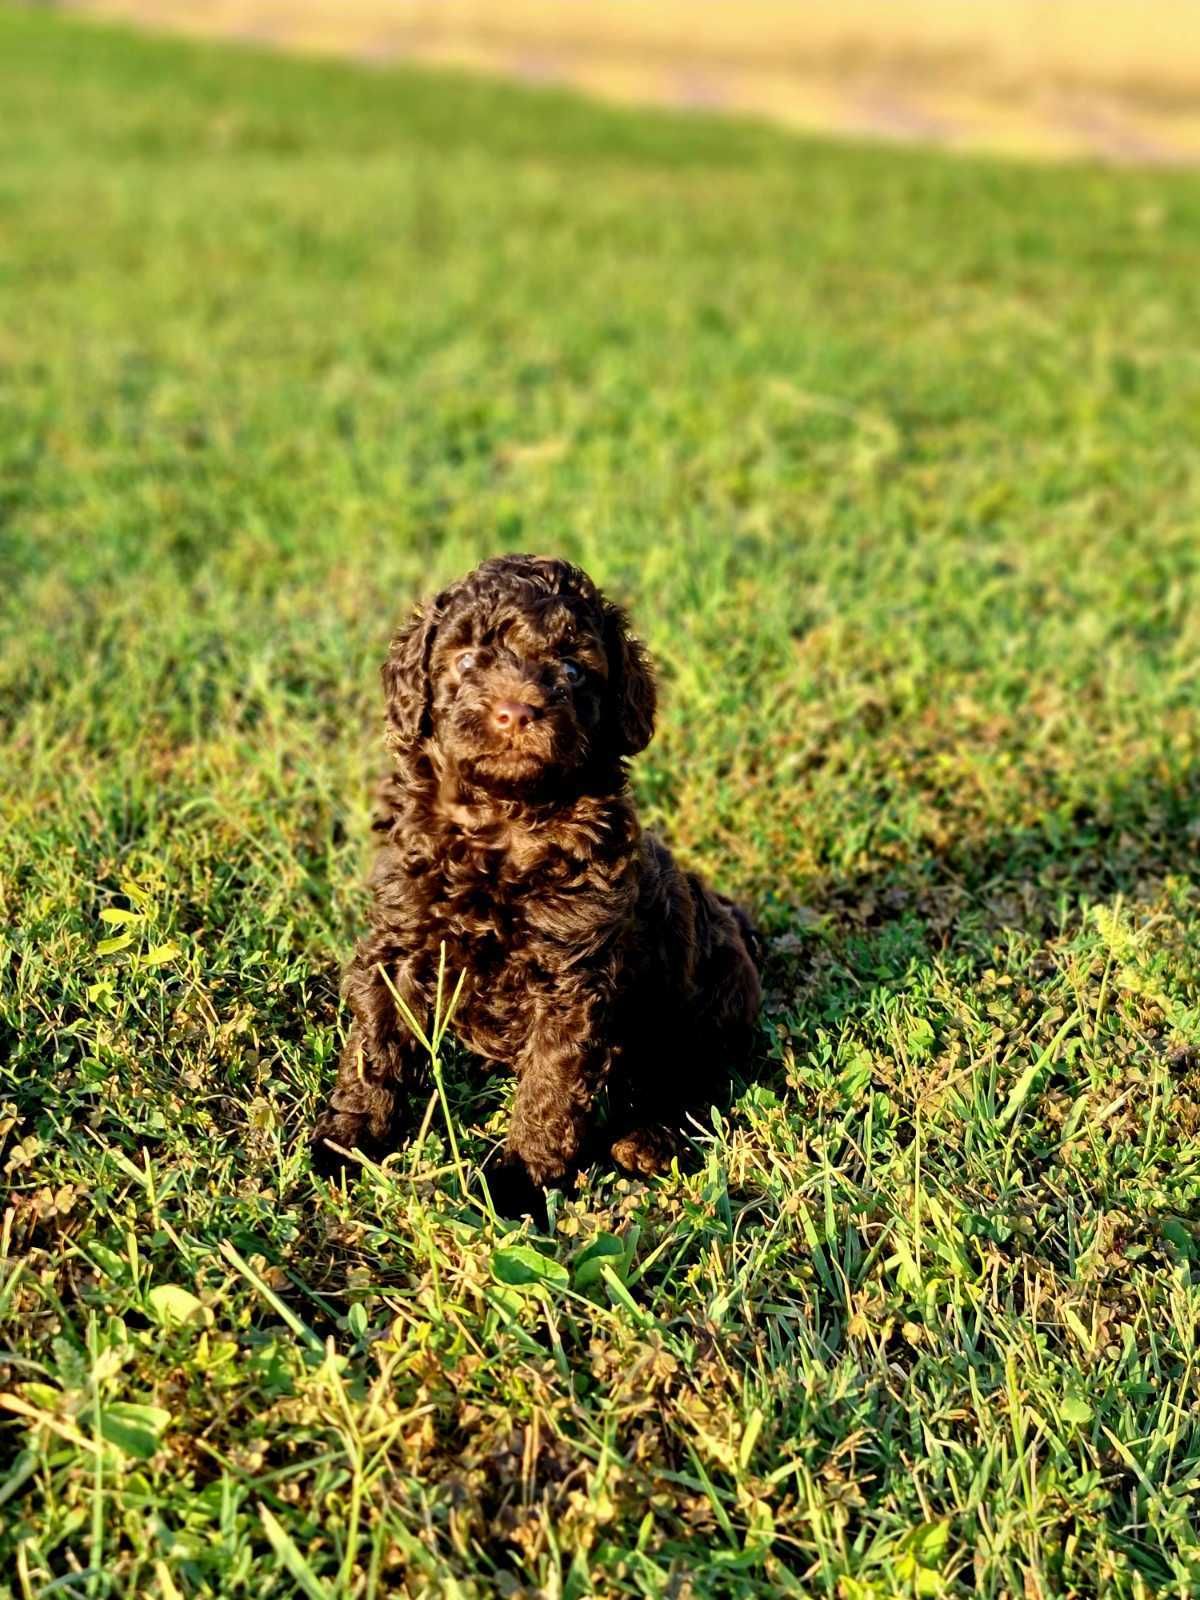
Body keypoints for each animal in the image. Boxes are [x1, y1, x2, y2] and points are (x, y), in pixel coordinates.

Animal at [310, 556, 761, 1203]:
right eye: (466, 661)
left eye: (572, 669)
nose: (516, 712)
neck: (504, 821)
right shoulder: (399, 940)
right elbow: (376, 1043)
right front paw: (348, 1138)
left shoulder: (571, 977)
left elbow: (551, 1083)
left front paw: (517, 1180)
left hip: (705, 1005)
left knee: (689, 1078)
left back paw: (646, 1137)